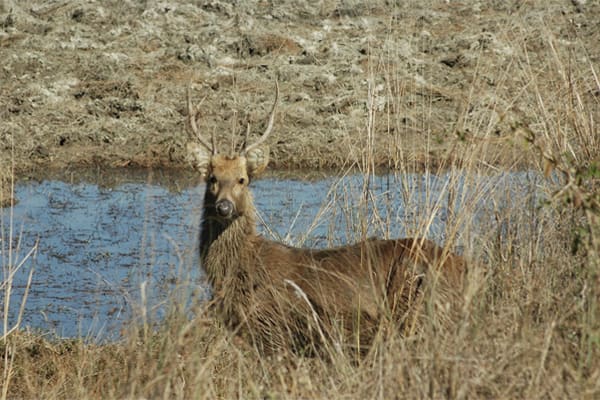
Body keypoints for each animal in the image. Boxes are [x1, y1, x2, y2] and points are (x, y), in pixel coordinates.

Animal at [185, 80, 466, 354]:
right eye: (212, 179)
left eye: (242, 180)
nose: (223, 207)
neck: (236, 271)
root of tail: (466, 266)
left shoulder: (272, 328)